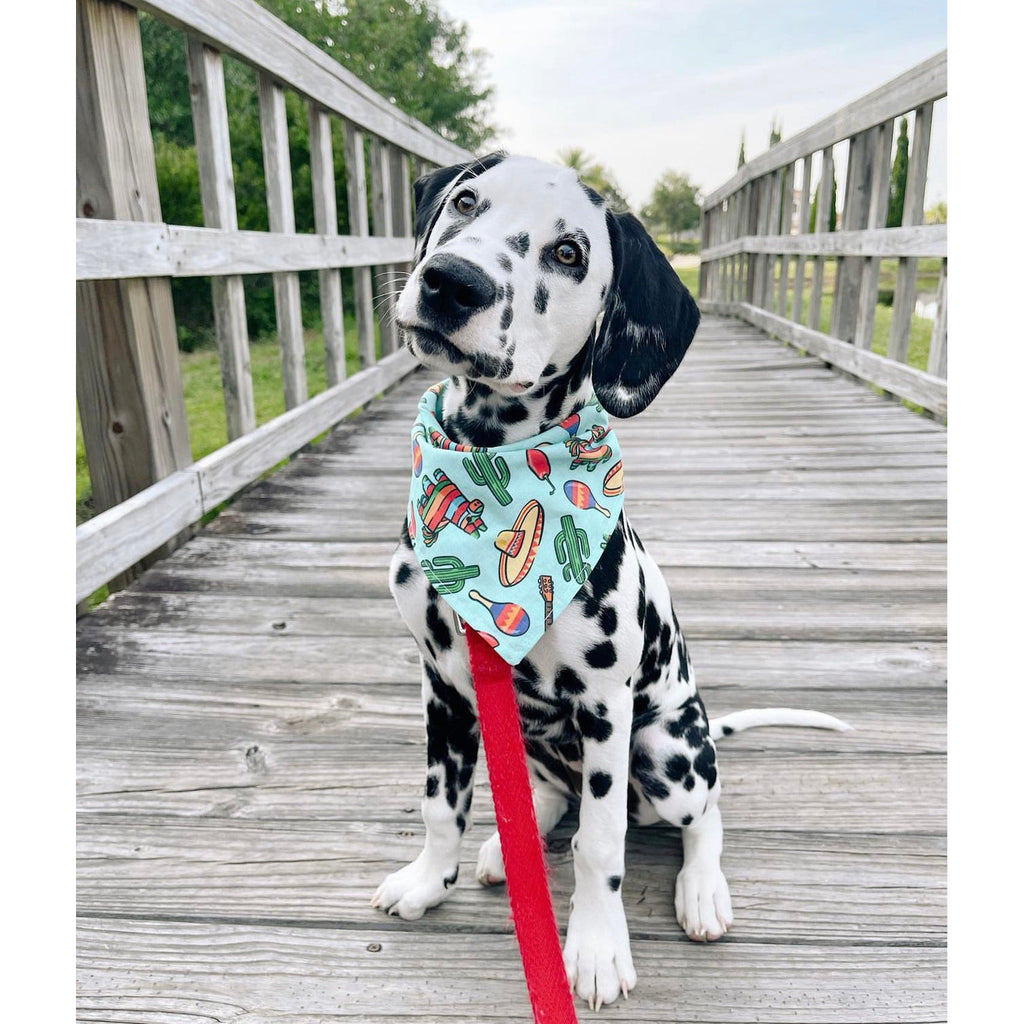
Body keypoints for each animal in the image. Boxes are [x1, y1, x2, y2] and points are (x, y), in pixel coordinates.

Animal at [372, 155, 843, 1011]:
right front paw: (428, 881)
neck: (493, 470)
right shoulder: (445, 687)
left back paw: (702, 890)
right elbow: (440, 802)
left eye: (568, 253)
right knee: (544, 800)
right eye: (465, 202)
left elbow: (599, 847)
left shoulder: (604, 709)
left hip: (665, 746)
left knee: (703, 813)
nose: (451, 282)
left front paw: (594, 948)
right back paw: (507, 847)